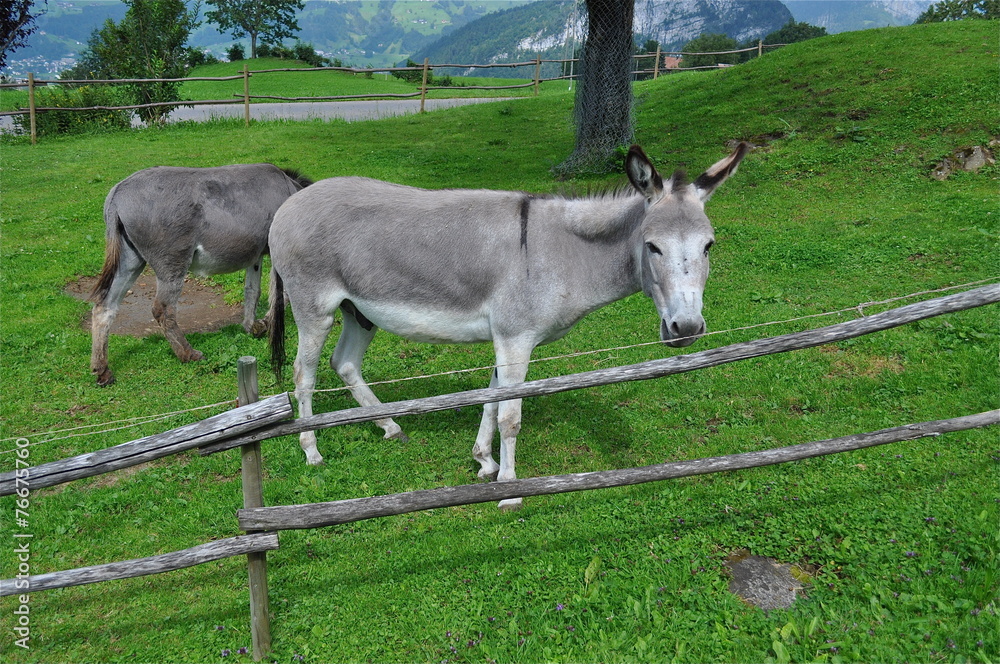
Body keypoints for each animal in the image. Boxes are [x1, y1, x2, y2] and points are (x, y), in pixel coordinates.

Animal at [90, 163, 312, 386]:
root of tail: (118, 192)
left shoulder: (255, 256)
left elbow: (252, 290)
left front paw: (251, 326)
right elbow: (279, 295)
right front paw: (266, 324)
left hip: (131, 259)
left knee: (105, 306)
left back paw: (102, 370)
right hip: (172, 263)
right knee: (163, 309)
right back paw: (188, 354)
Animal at [267, 143, 748, 510]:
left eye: (709, 246)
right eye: (653, 247)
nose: (686, 328)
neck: (562, 252)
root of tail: (291, 200)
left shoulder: (507, 336)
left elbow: (491, 400)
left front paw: (484, 461)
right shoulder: (516, 337)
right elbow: (511, 416)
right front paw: (511, 491)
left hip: (359, 311)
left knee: (345, 363)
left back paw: (389, 426)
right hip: (315, 307)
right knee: (304, 374)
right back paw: (311, 450)